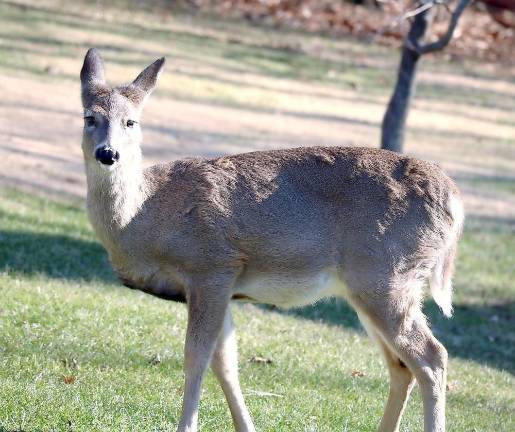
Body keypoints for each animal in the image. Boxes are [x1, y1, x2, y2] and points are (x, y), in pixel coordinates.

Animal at [79, 48, 464, 432]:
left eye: (131, 122)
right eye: (89, 117)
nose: (107, 154)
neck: (145, 216)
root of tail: (453, 199)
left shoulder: (212, 267)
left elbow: (197, 356)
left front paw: (187, 426)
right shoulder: (220, 287)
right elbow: (226, 363)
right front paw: (246, 427)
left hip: (388, 276)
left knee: (432, 357)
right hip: (370, 287)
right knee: (401, 366)